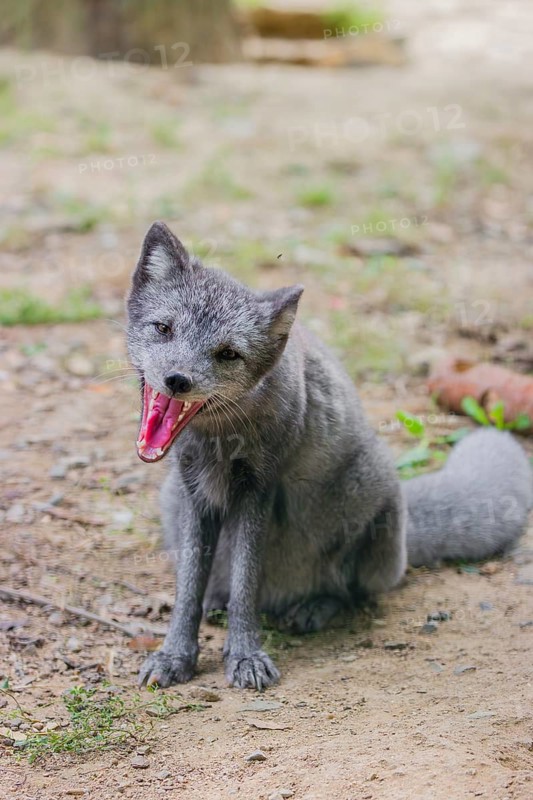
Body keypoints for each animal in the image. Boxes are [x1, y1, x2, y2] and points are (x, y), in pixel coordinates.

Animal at [127, 221, 533, 690]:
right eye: (164, 328)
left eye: (228, 353)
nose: (177, 380)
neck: (218, 440)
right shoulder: (195, 493)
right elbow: (189, 585)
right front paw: (175, 655)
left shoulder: (258, 489)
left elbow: (247, 581)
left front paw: (245, 655)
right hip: (170, 499)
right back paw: (218, 600)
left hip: (368, 498)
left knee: (352, 592)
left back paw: (314, 607)